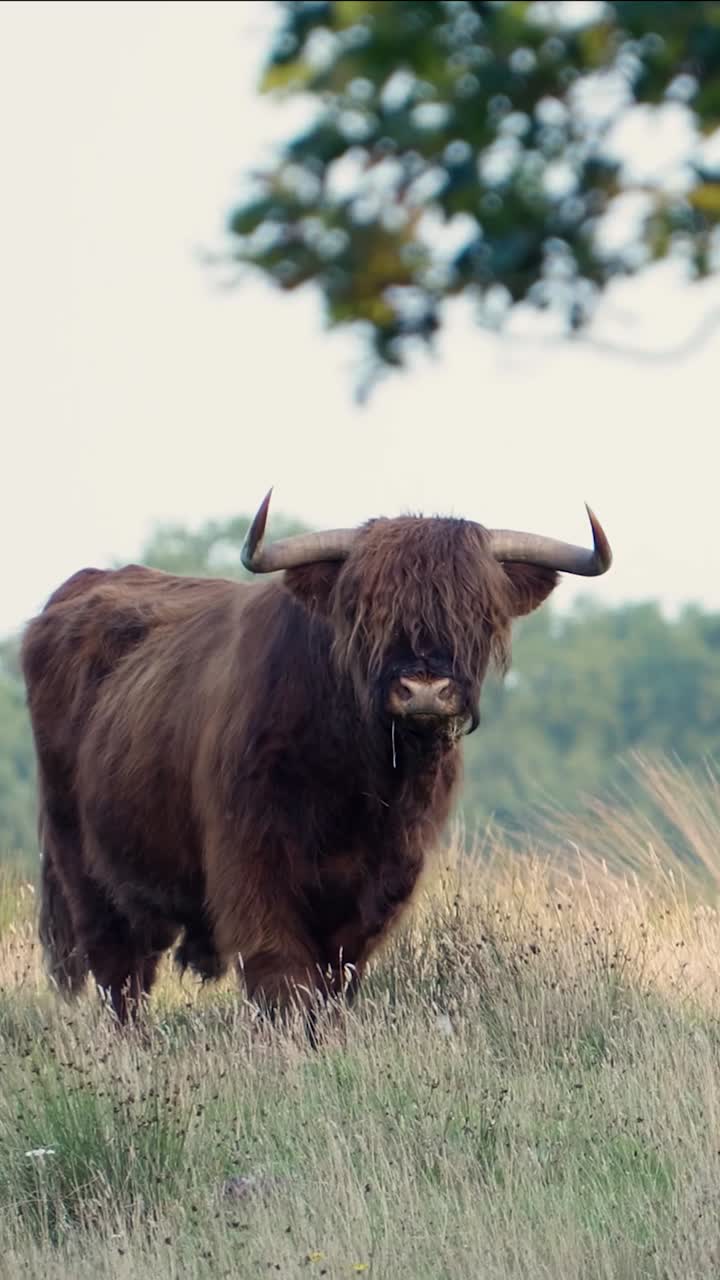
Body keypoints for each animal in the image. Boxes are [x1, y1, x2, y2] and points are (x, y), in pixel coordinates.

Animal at [21, 493, 611, 1033]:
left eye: (476, 614)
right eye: (367, 612)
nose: (423, 689)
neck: (358, 781)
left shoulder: (385, 878)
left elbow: (337, 973)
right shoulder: (251, 863)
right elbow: (282, 973)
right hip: (80, 860)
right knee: (119, 969)